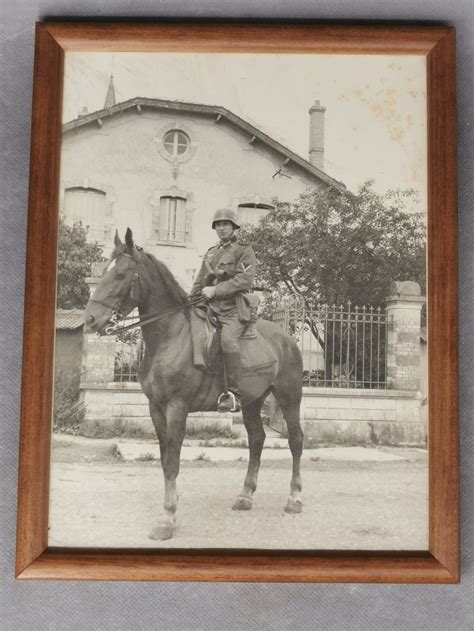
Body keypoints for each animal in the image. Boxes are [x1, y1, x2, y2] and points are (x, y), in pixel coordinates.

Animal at [84, 230, 304, 540]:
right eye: (104, 272)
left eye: (121, 274)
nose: (90, 320)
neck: (169, 336)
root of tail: (286, 337)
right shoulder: (156, 409)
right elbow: (164, 459)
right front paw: (171, 509)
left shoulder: (177, 408)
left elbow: (173, 463)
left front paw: (166, 519)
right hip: (252, 401)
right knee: (257, 440)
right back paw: (245, 495)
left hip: (289, 395)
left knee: (296, 441)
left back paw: (294, 498)